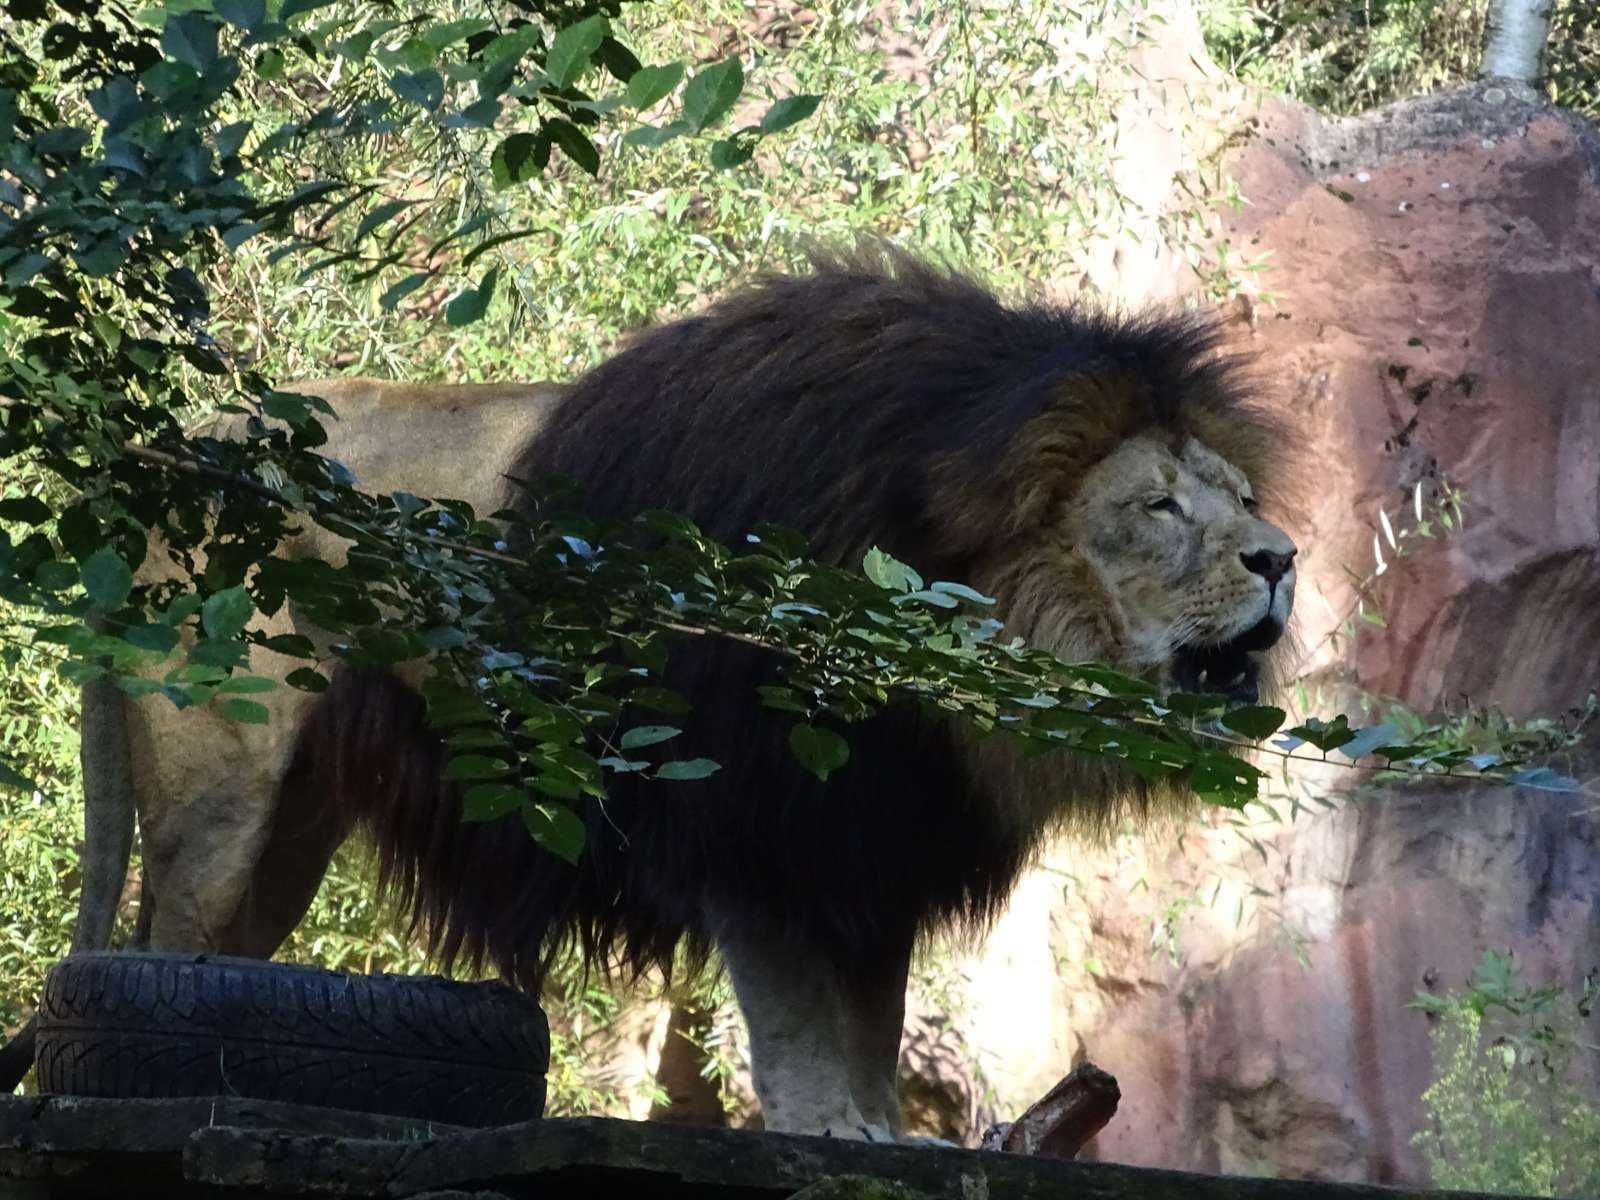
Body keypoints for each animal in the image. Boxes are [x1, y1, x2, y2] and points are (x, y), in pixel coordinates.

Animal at [262, 241, 1299, 1145]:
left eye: (1243, 499)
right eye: (1157, 506)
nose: (1282, 558)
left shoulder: (886, 838)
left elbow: (875, 1013)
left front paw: (883, 1130)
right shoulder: (751, 816)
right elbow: (793, 1007)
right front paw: (827, 1126)